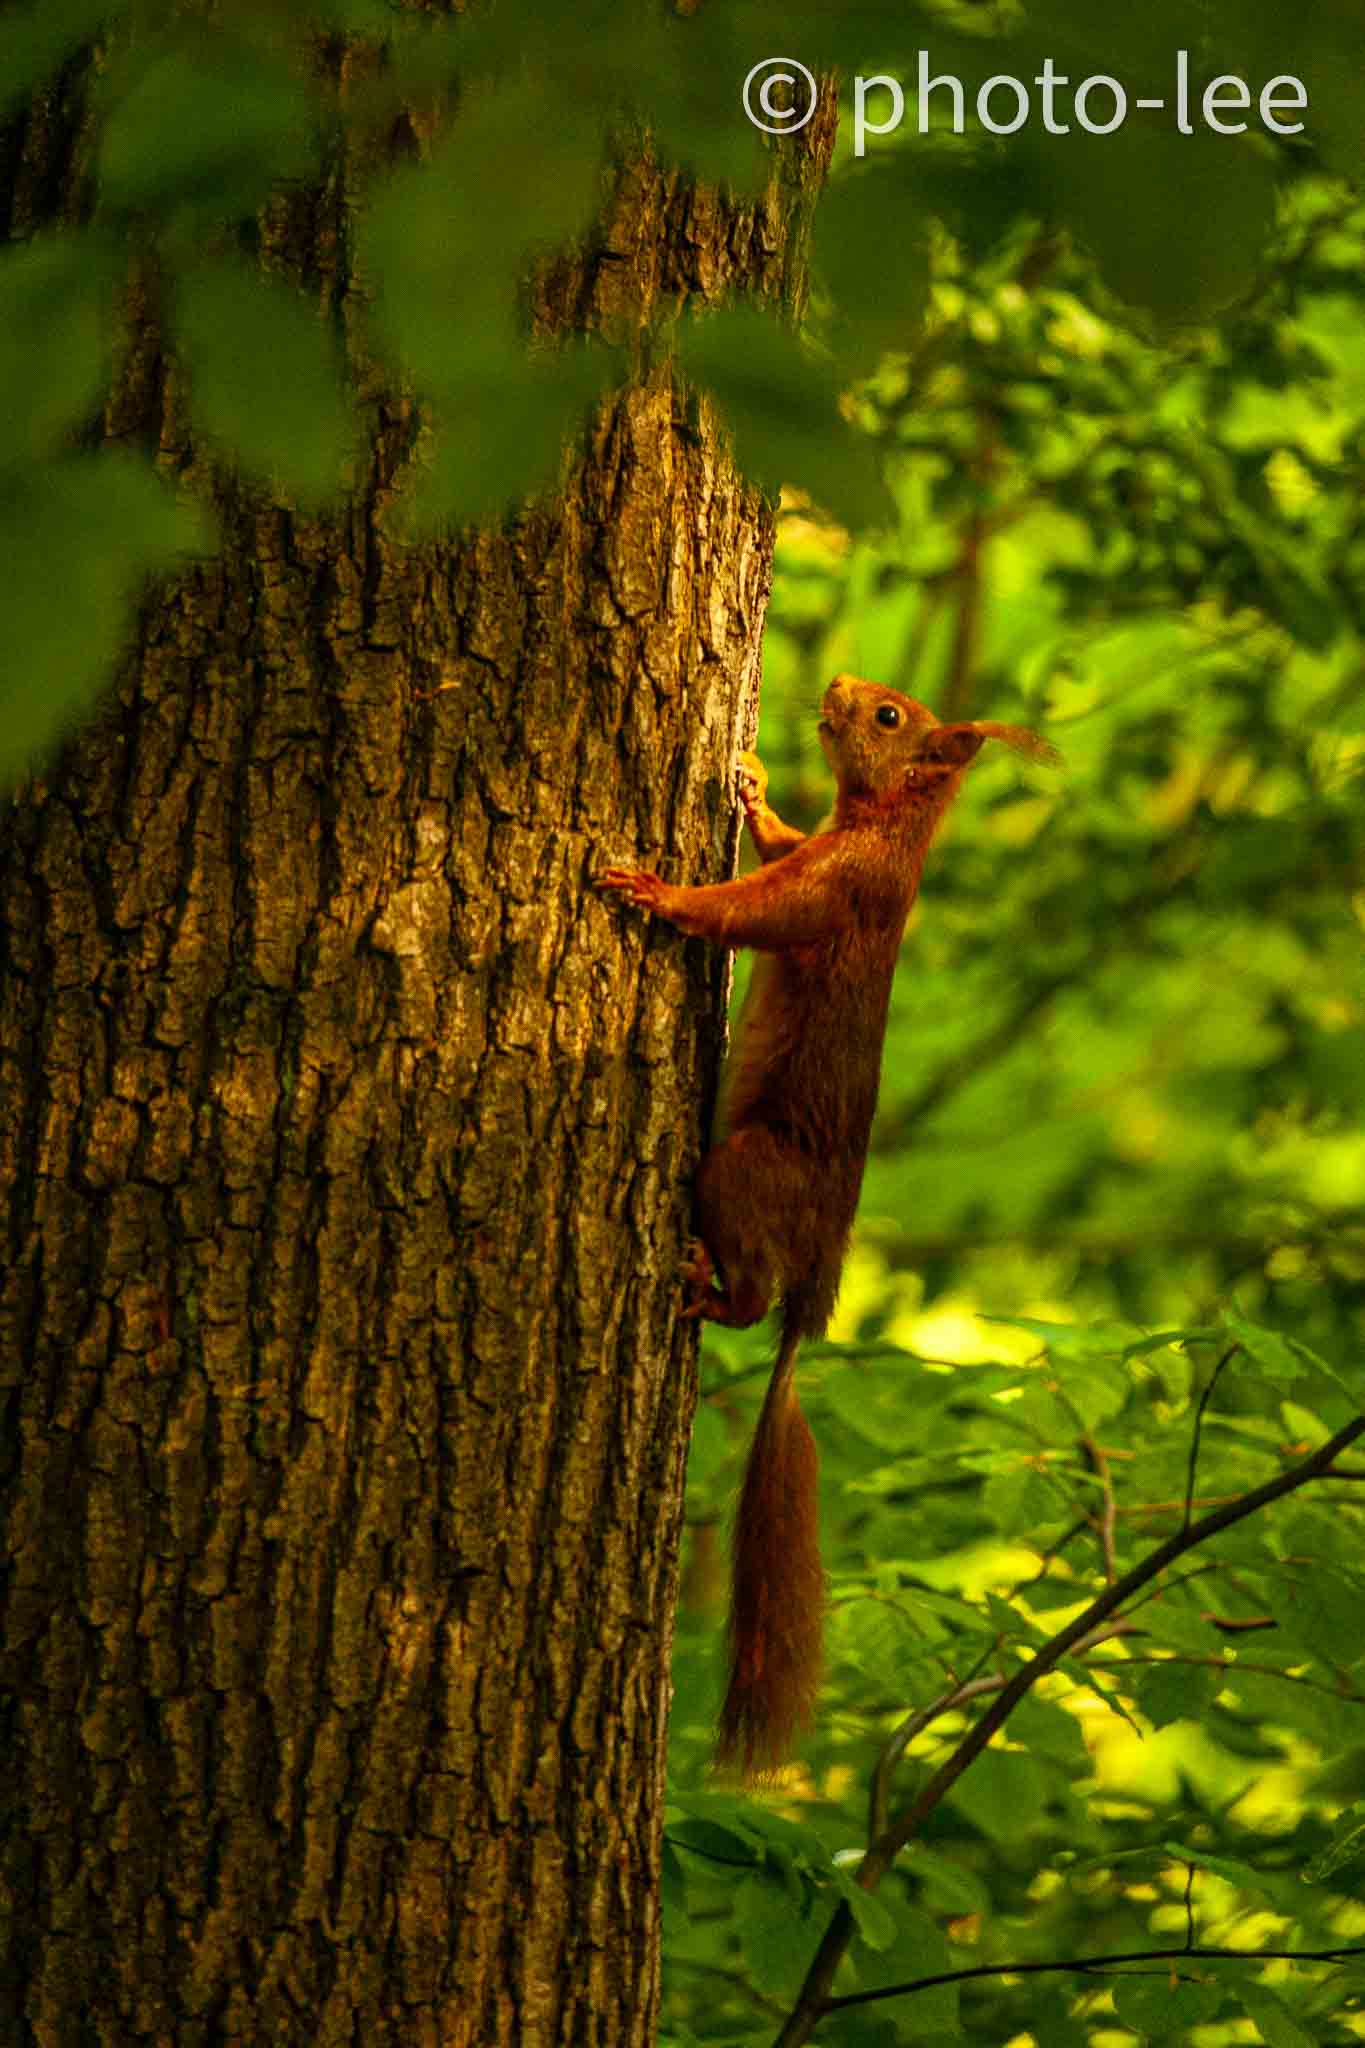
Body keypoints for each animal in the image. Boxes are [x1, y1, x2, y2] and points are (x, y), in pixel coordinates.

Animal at [600, 673, 1059, 1778]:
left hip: (744, 1169)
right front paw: (756, 788)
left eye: (890, 716)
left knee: (749, 1290)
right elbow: (780, 844)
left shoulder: (837, 891)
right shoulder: (824, 849)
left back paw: (706, 1286)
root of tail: (814, 1295)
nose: (842, 687)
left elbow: (752, 911)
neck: (886, 827)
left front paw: (656, 894)